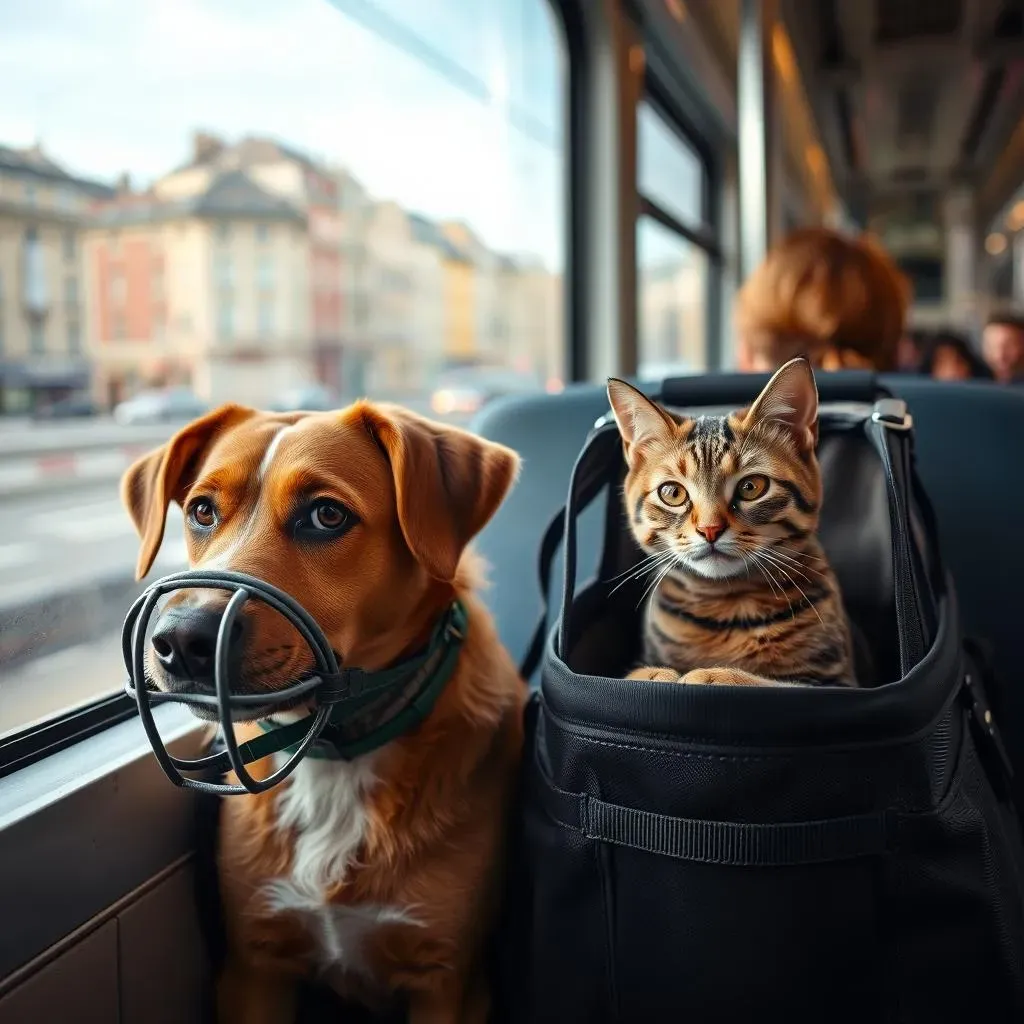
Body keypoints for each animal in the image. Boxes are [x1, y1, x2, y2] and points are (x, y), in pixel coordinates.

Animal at [121, 399, 528, 1024]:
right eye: (202, 511)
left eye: (327, 515)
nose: (183, 640)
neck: (335, 755)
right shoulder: (254, 967)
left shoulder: (450, 984)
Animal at [602, 358, 860, 688]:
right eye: (672, 493)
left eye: (751, 487)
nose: (709, 529)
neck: (729, 603)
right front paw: (651, 674)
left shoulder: (836, 682)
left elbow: (776, 684)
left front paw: (719, 674)